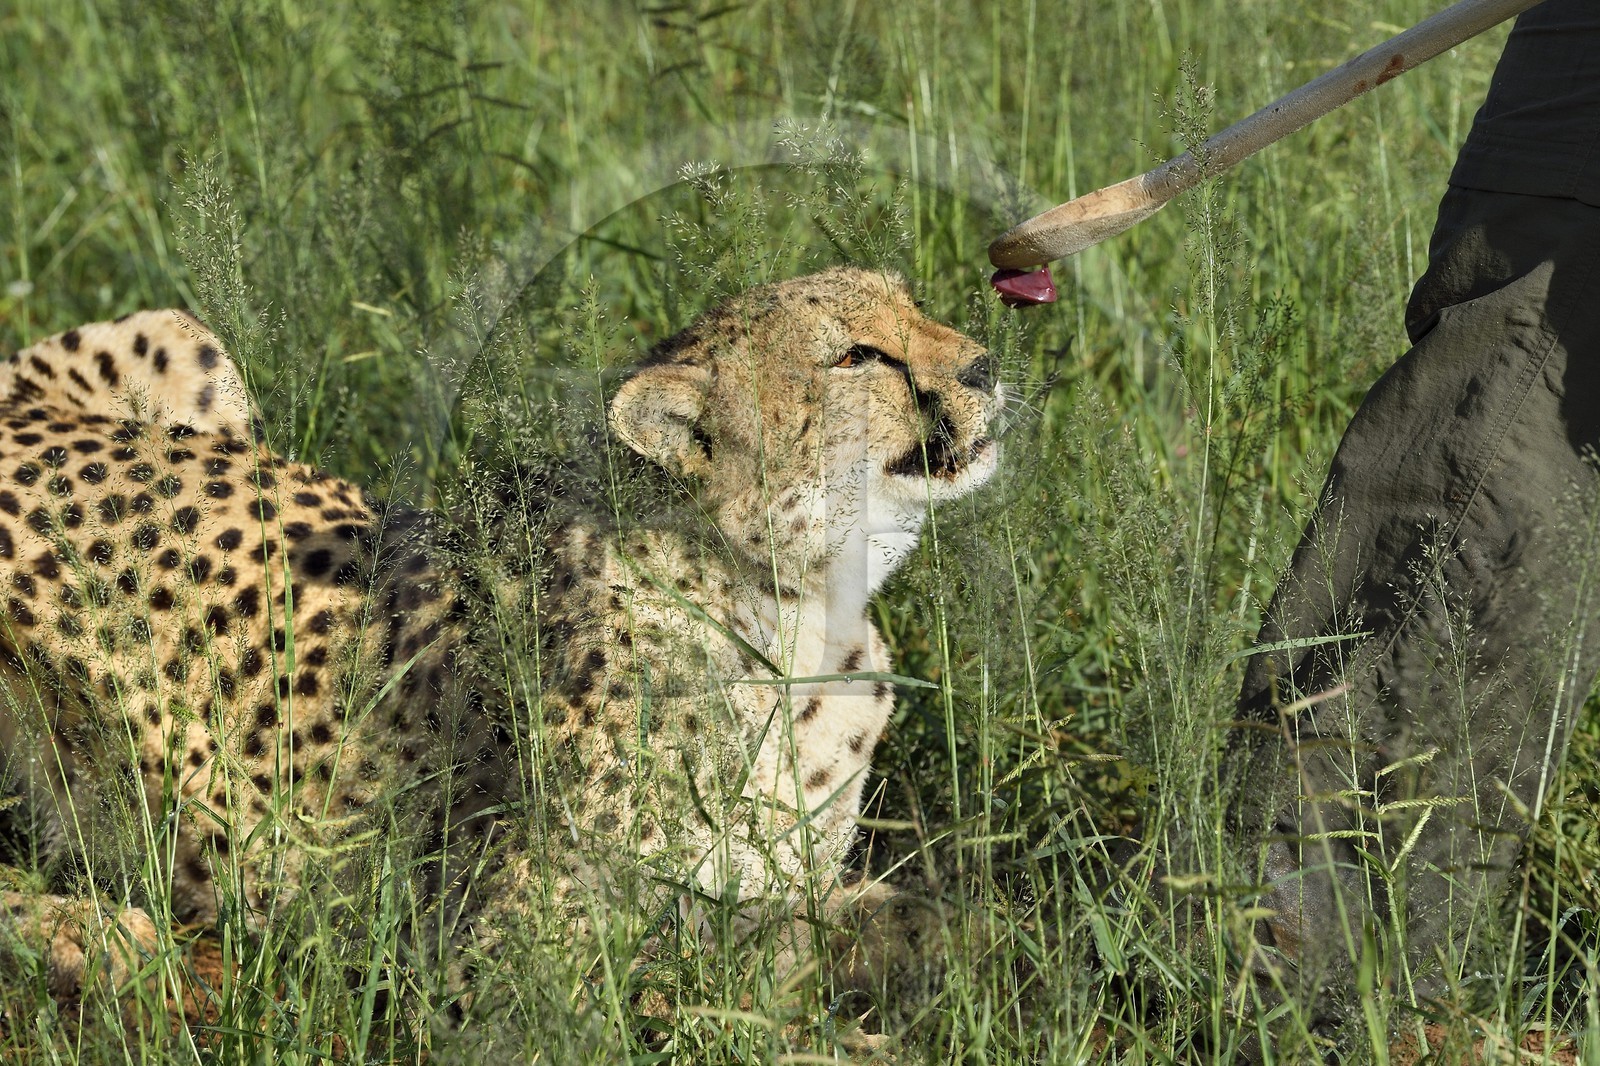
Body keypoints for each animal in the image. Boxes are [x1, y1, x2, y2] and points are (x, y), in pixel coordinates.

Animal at [0, 267, 1000, 1021]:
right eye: (857, 356)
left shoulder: (793, 891)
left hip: (176, 330)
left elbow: (933, 919)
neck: (800, 609)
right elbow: (694, 998)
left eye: (914, 304)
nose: (988, 366)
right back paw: (95, 937)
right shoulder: (499, 956)